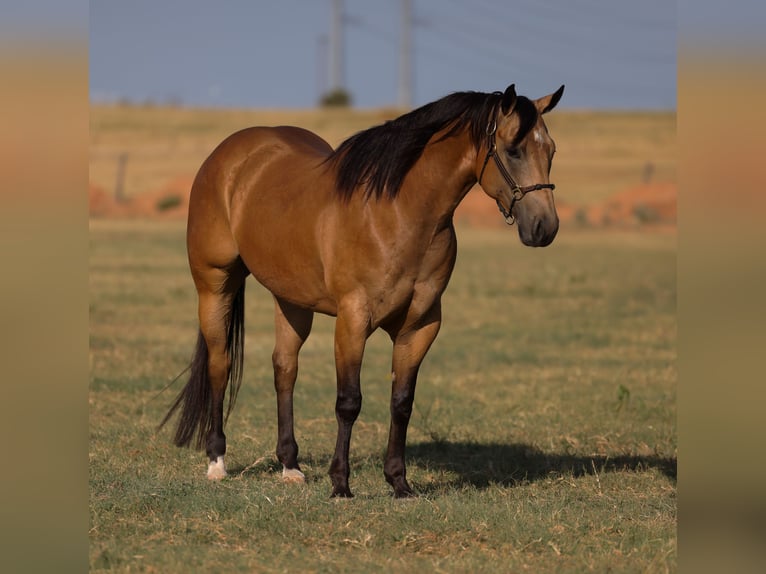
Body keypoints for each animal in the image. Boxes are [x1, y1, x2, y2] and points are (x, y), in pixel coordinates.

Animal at [160, 83, 565, 498]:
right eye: (513, 150)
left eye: (550, 150)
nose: (544, 227)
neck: (398, 212)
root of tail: (228, 155)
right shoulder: (353, 320)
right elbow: (349, 401)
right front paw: (341, 483)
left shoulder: (419, 326)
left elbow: (402, 402)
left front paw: (399, 482)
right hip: (214, 285)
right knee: (220, 364)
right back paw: (216, 461)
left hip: (291, 300)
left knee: (285, 368)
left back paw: (290, 466)